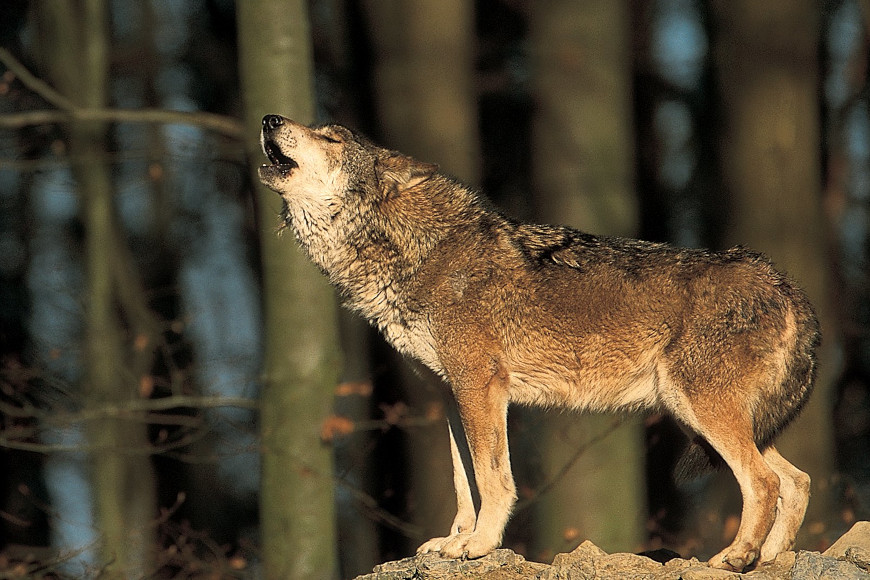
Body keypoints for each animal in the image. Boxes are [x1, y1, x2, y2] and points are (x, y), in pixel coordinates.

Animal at [255, 114, 820, 572]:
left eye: (330, 137)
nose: (269, 118)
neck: (415, 253)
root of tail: (783, 283)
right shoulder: (451, 396)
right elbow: (463, 480)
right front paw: (454, 541)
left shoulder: (481, 386)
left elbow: (492, 477)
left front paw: (480, 545)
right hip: (703, 417)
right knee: (798, 480)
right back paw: (771, 558)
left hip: (699, 411)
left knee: (765, 483)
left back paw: (737, 557)